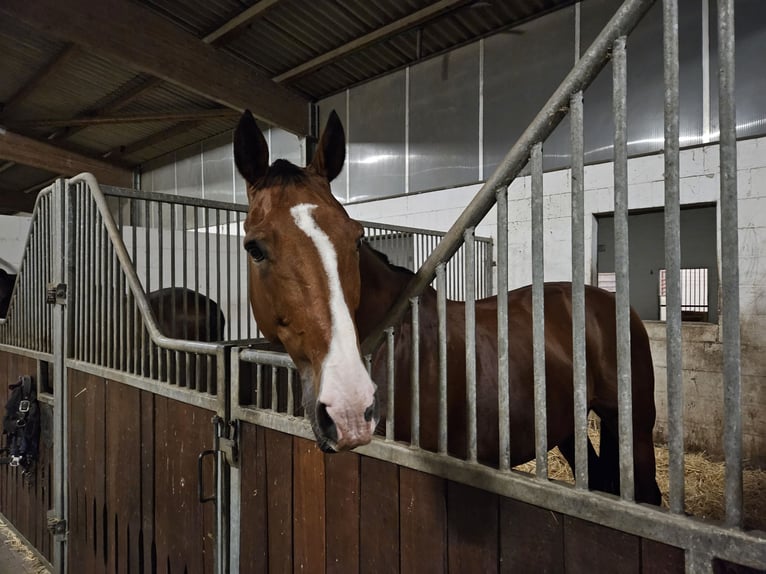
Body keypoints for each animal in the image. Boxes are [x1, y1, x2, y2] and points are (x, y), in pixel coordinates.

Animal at [236, 110, 664, 506]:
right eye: (253, 248)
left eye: (355, 238)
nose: (350, 408)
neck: (398, 346)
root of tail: (610, 302)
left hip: (634, 428)